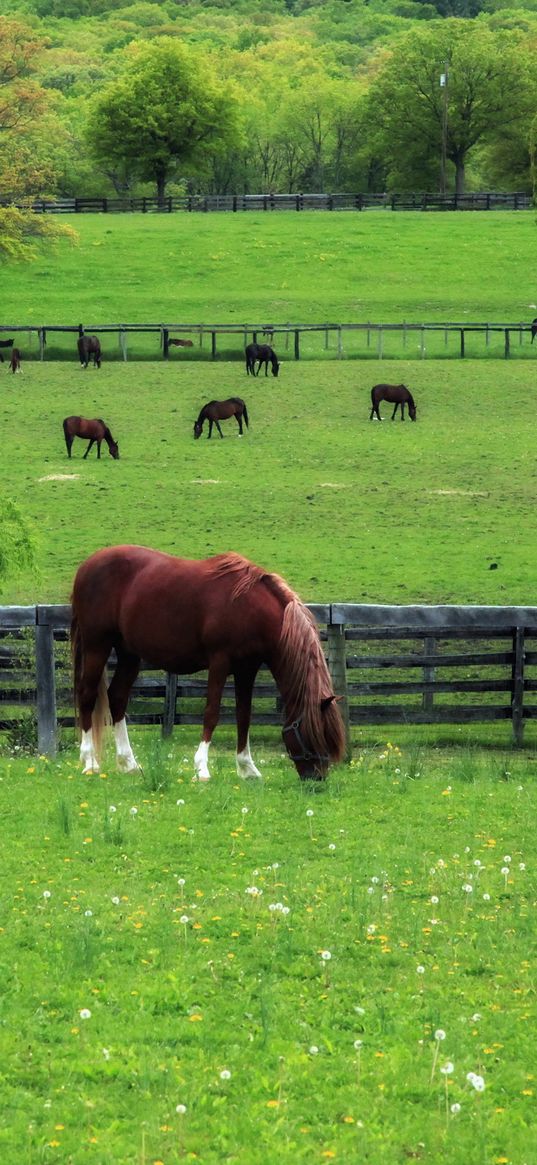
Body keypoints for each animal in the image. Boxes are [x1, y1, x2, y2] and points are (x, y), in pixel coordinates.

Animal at [70, 545, 342, 782]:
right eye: (315, 735)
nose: (317, 779)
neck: (249, 607)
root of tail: (87, 565)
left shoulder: (247, 669)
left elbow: (244, 715)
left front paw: (247, 768)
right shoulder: (219, 662)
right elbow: (212, 712)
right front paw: (201, 768)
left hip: (128, 653)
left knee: (117, 697)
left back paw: (129, 764)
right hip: (97, 645)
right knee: (87, 694)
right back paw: (90, 762)